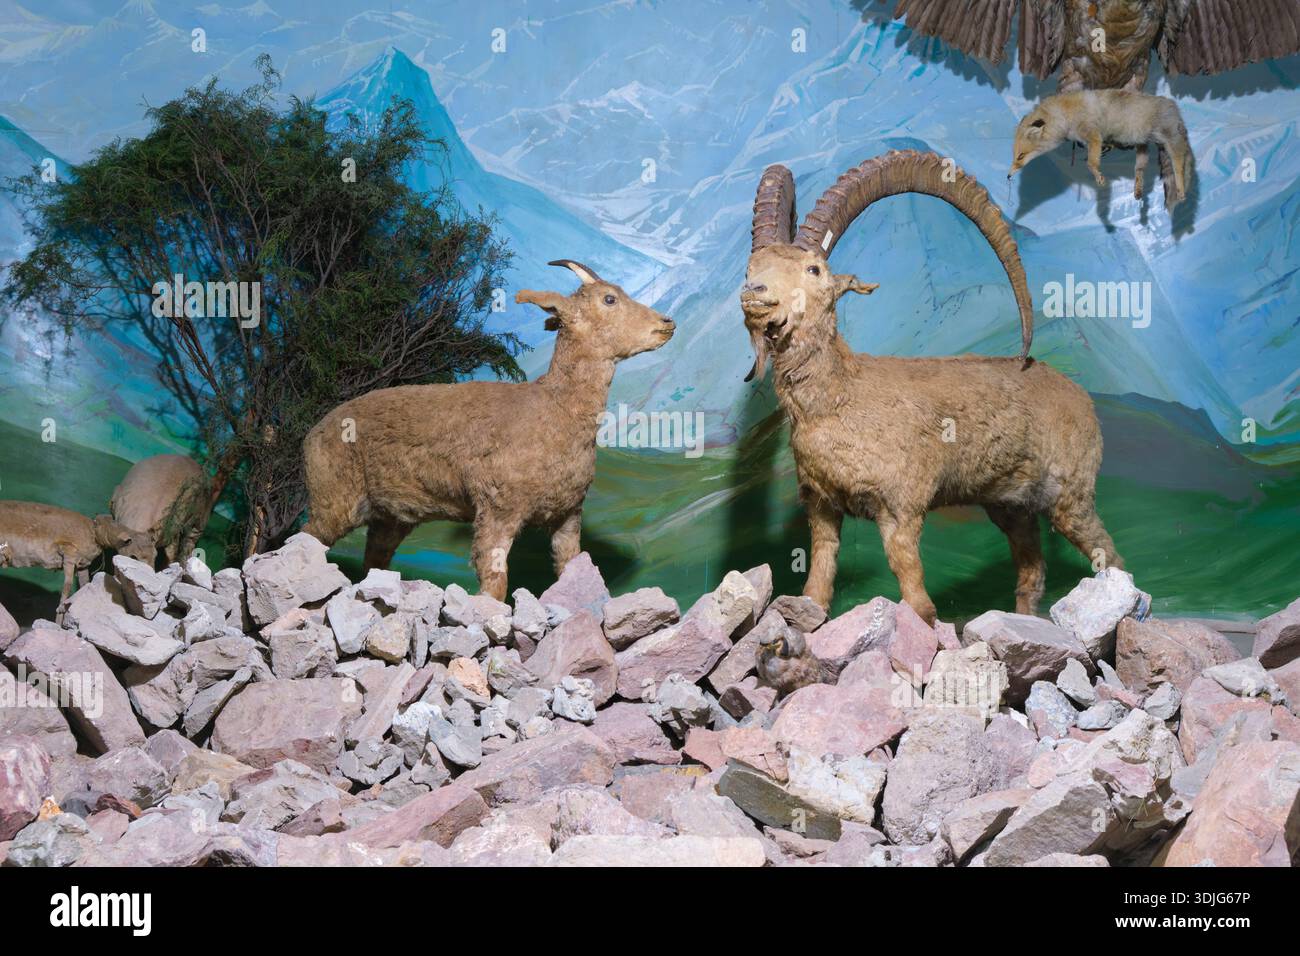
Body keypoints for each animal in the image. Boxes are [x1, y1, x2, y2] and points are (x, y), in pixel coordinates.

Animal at [0, 500, 152, 619]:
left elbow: (84, 585)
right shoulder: (69, 554)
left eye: (154, 553)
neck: (95, 533)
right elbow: (66, 588)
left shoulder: (82, 565)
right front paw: (60, 615)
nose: (152, 573)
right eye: (134, 557)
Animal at [302, 260, 675, 600]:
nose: (666, 323)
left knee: (373, 562)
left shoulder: (568, 516)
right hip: (334, 502)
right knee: (303, 539)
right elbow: (495, 582)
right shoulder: (496, 511)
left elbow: (572, 569)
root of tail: (312, 434)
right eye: (609, 298)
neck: (553, 410)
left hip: (390, 519)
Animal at [740, 150, 1122, 624]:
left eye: (813, 269)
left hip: (1072, 497)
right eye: (752, 267)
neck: (839, 400)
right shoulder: (822, 506)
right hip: (1011, 506)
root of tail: (1081, 396)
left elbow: (915, 594)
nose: (754, 294)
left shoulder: (901, 509)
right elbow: (818, 584)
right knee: (1032, 570)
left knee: (1109, 555)